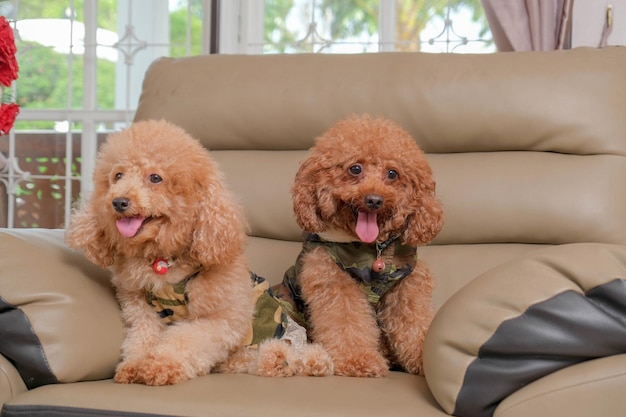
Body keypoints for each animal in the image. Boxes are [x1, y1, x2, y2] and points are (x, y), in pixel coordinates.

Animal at [66, 118, 332, 384]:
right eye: (117, 176)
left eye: (155, 178)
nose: (118, 202)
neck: (163, 259)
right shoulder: (140, 309)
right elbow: (141, 339)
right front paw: (133, 366)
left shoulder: (218, 318)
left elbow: (184, 340)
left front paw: (160, 365)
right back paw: (275, 361)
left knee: (295, 352)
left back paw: (295, 360)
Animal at [286, 114, 442, 376]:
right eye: (355, 168)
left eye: (392, 173)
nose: (374, 200)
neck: (375, 249)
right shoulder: (333, 281)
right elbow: (347, 322)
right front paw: (358, 360)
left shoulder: (407, 287)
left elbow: (415, 322)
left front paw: (426, 357)